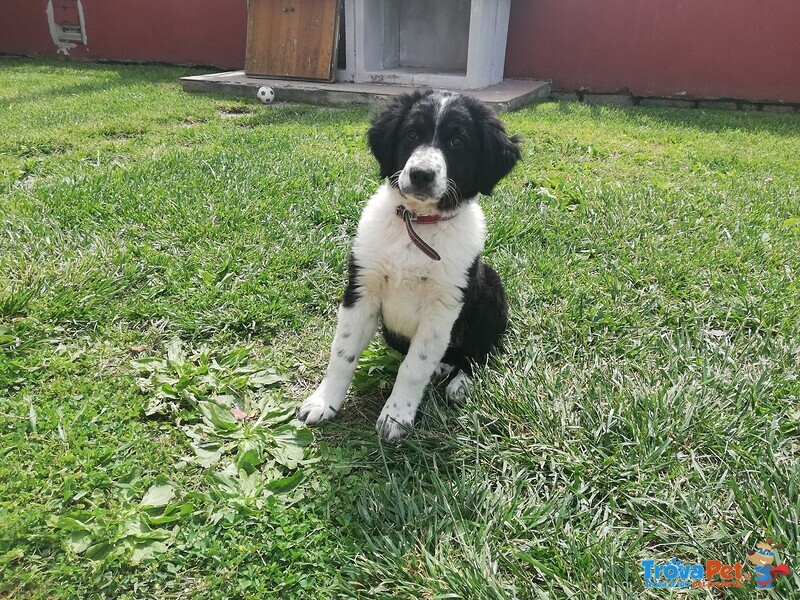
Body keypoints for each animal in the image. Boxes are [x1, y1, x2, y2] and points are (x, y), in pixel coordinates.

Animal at [296, 90, 520, 440]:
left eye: (457, 141)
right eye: (412, 134)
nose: (421, 174)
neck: (416, 224)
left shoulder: (443, 309)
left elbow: (414, 367)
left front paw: (396, 416)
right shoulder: (361, 290)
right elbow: (343, 354)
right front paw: (324, 401)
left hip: (490, 290)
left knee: (479, 353)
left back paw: (460, 384)